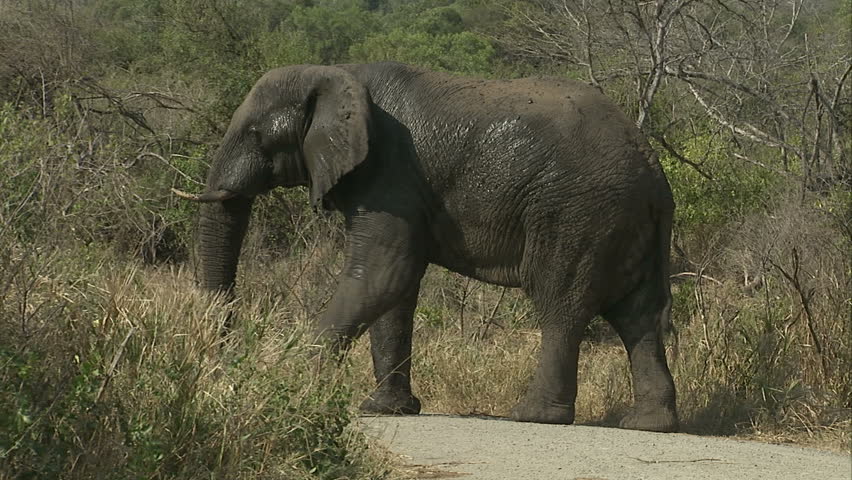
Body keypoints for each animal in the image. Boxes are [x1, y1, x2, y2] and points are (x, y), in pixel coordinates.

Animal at [173, 62, 679, 433]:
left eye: (257, 135)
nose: (222, 369)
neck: (338, 72)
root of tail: (652, 167)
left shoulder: (389, 172)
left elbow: (383, 272)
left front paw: (286, 378)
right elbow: (395, 289)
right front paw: (385, 409)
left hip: (575, 214)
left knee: (561, 306)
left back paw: (532, 416)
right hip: (624, 223)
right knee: (638, 316)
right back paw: (648, 424)